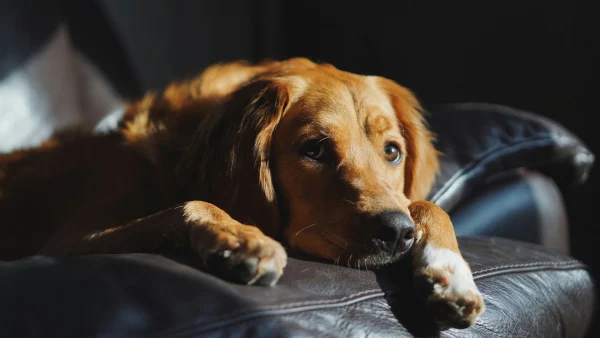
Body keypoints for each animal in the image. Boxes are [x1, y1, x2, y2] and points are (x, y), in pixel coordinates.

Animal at [0, 58, 486, 330]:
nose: (397, 233)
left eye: (392, 152)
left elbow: (427, 205)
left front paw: (450, 275)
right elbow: (193, 203)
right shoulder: (69, 240)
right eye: (314, 149)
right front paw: (242, 239)